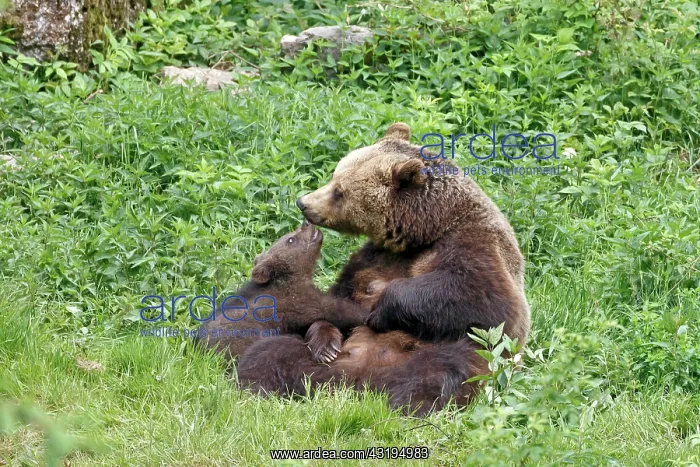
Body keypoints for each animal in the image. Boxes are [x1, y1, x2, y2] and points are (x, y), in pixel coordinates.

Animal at [238, 122, 530, 414]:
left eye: (339, 191)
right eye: (334, 175)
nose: (304, 203)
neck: (424, 232)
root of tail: (358, 384)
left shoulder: (475, 246)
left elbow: (482, 298)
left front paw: (380, 311)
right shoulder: (370, 259)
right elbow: (333, 305)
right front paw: (327, 343)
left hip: (451, 358)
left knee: (440, 372)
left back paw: (411, 404)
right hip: (312, 365)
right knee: (272, 352)